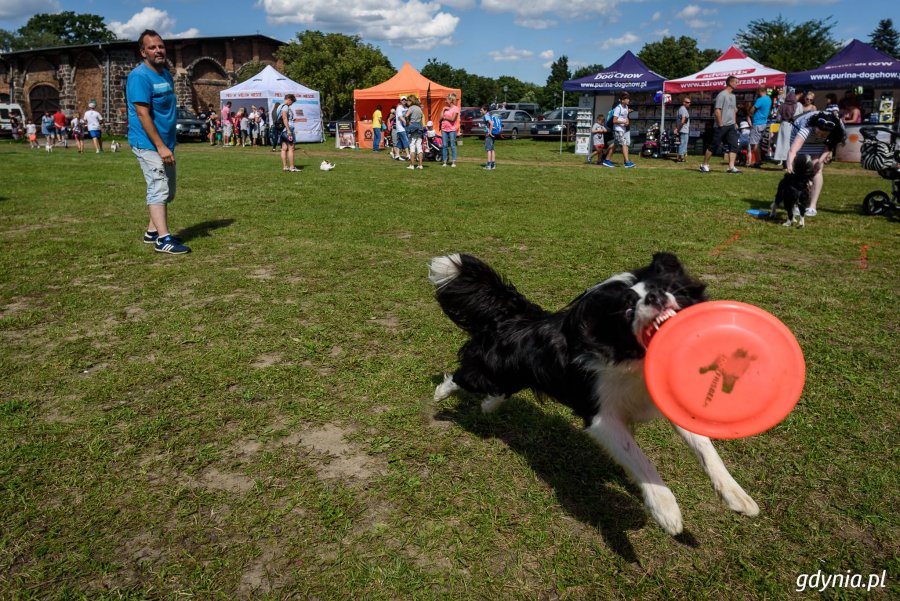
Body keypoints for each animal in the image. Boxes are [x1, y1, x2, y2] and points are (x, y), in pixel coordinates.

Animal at [428, 253, 760, 536]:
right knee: (464, 374)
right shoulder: (602, 418)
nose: (655, 297)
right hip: (490, 370)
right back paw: (440, 397)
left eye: (665, 289)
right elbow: (639, 458)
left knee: (500, 390)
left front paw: (737, 495)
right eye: (628, 308)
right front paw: (666, 510)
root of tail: (517, 315)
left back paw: (489, 404)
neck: (634, 359)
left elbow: (705, 448)